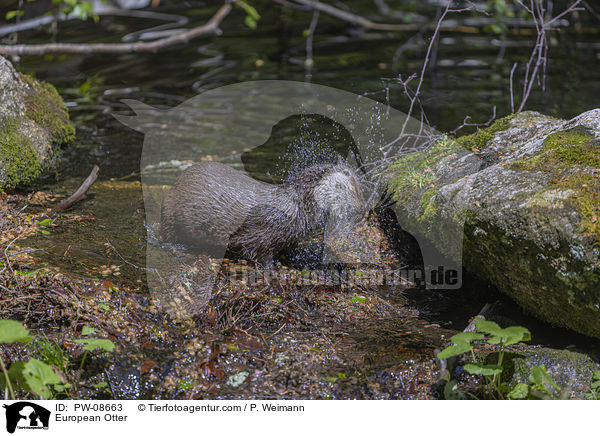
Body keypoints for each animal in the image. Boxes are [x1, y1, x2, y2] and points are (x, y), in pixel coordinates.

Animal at [161, 162, 366, 264]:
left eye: (361, 191)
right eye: (351, 190)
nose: (361, 210)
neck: (295, 208)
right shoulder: (259, 234)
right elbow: (254, 250)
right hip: (171, 210)